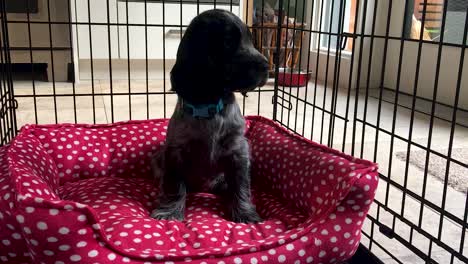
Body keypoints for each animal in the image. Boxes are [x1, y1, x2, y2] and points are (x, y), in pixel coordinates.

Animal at [150, 9, 266, 223]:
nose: (267, 66)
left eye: (250, 40)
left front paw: (245, 213)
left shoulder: (239, 150)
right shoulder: (175, 152)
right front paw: (170, 212)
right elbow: (174, 186)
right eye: (228, 42)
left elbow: (240, 185)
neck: (210, 107)